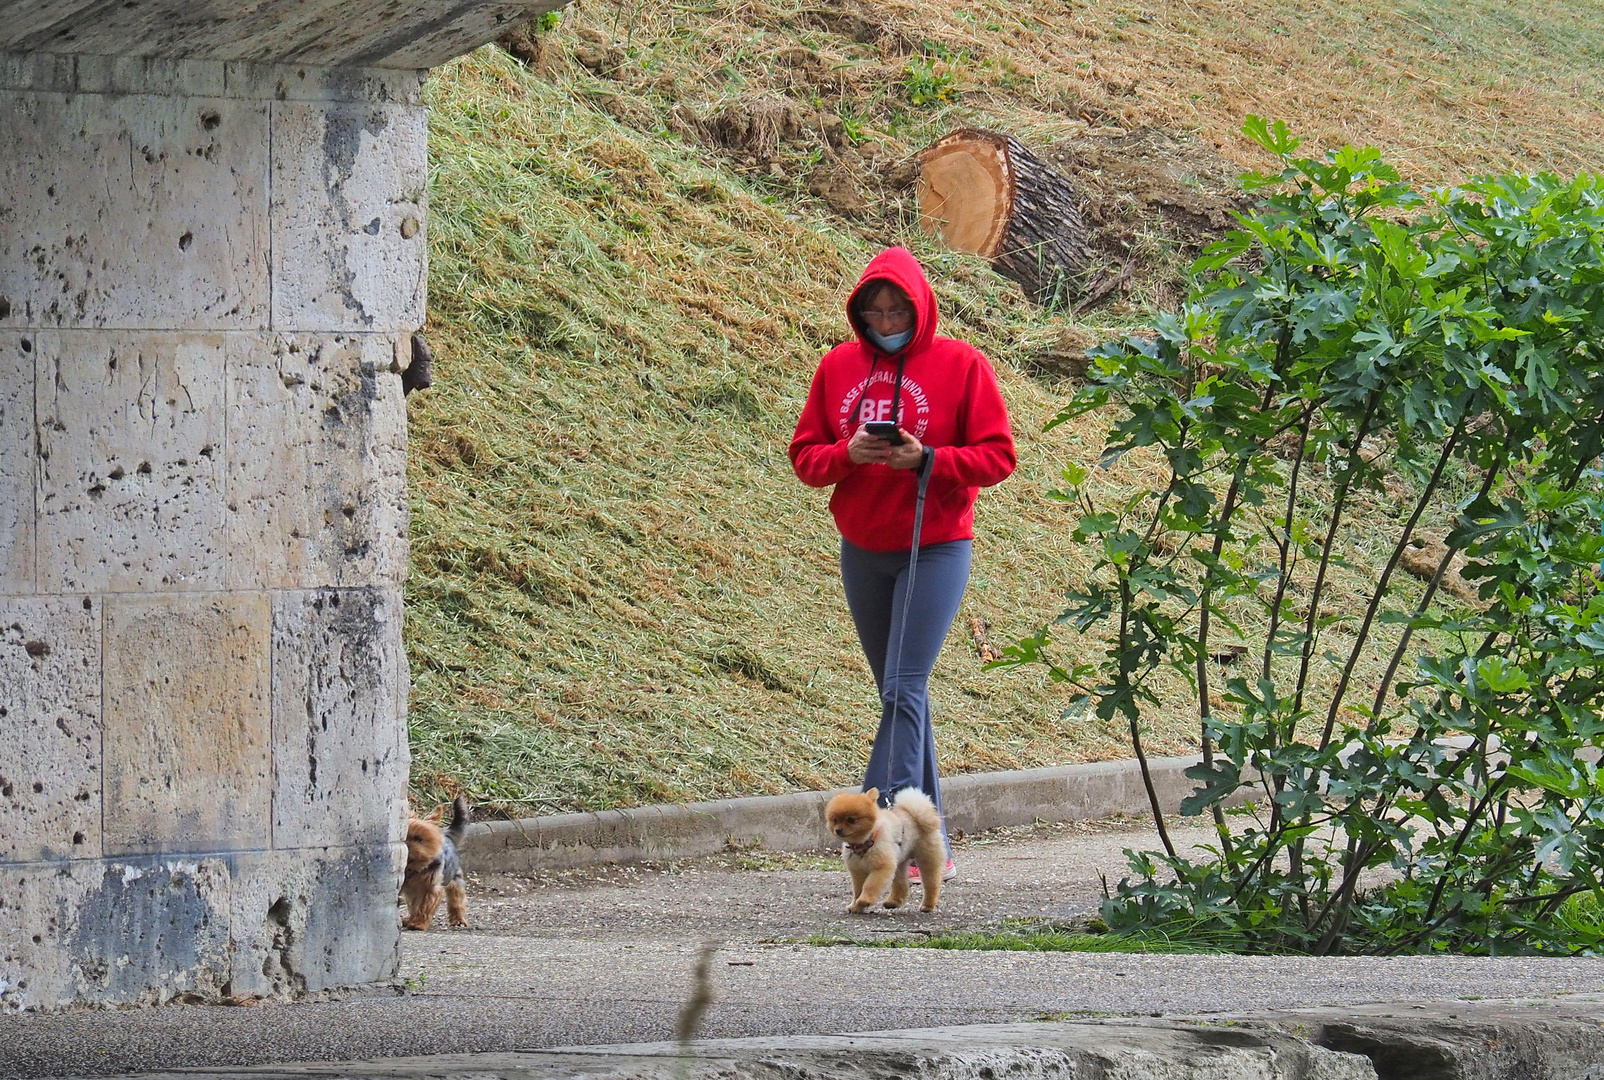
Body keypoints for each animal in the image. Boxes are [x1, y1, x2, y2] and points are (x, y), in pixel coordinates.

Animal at [401, 792, 468, 924]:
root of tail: (447, 836)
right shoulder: (409, 889)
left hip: (455, 878)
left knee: (456, 899)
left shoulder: (430, 888)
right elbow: (414, 905)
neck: (416, 869)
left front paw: (418, 924)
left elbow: (425, 905)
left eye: (418, 839)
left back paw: (458, 919)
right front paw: (412, 920)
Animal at [821, 783, 943, 911]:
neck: (864, 843)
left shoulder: (881, 868)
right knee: (901, 883)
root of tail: (916, 815)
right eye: (835, 820)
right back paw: (893, 901)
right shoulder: (858, 871)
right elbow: (857, 890)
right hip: (898, 862)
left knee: (931, 883)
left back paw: (927, 905)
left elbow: (870, 885)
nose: (838, 830)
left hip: (926, 858)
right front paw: (856, 906)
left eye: (851, 820)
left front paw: (864, 900)